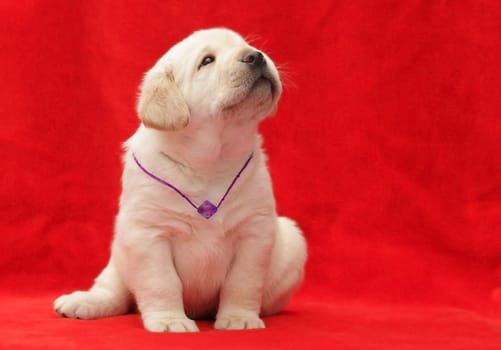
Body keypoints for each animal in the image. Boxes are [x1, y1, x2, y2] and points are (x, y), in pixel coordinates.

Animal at [53, 28, 304, 334]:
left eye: (246, 45)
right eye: (207, 61)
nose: (256, 56)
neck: (210, 161)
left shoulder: (254, 231)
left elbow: (242, 281)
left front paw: (239, 318)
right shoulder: (148, 232)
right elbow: (162, 281)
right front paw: (169, 320)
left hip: (292, 239)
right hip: (119, 254)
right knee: (114, 291)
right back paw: (83, 302)